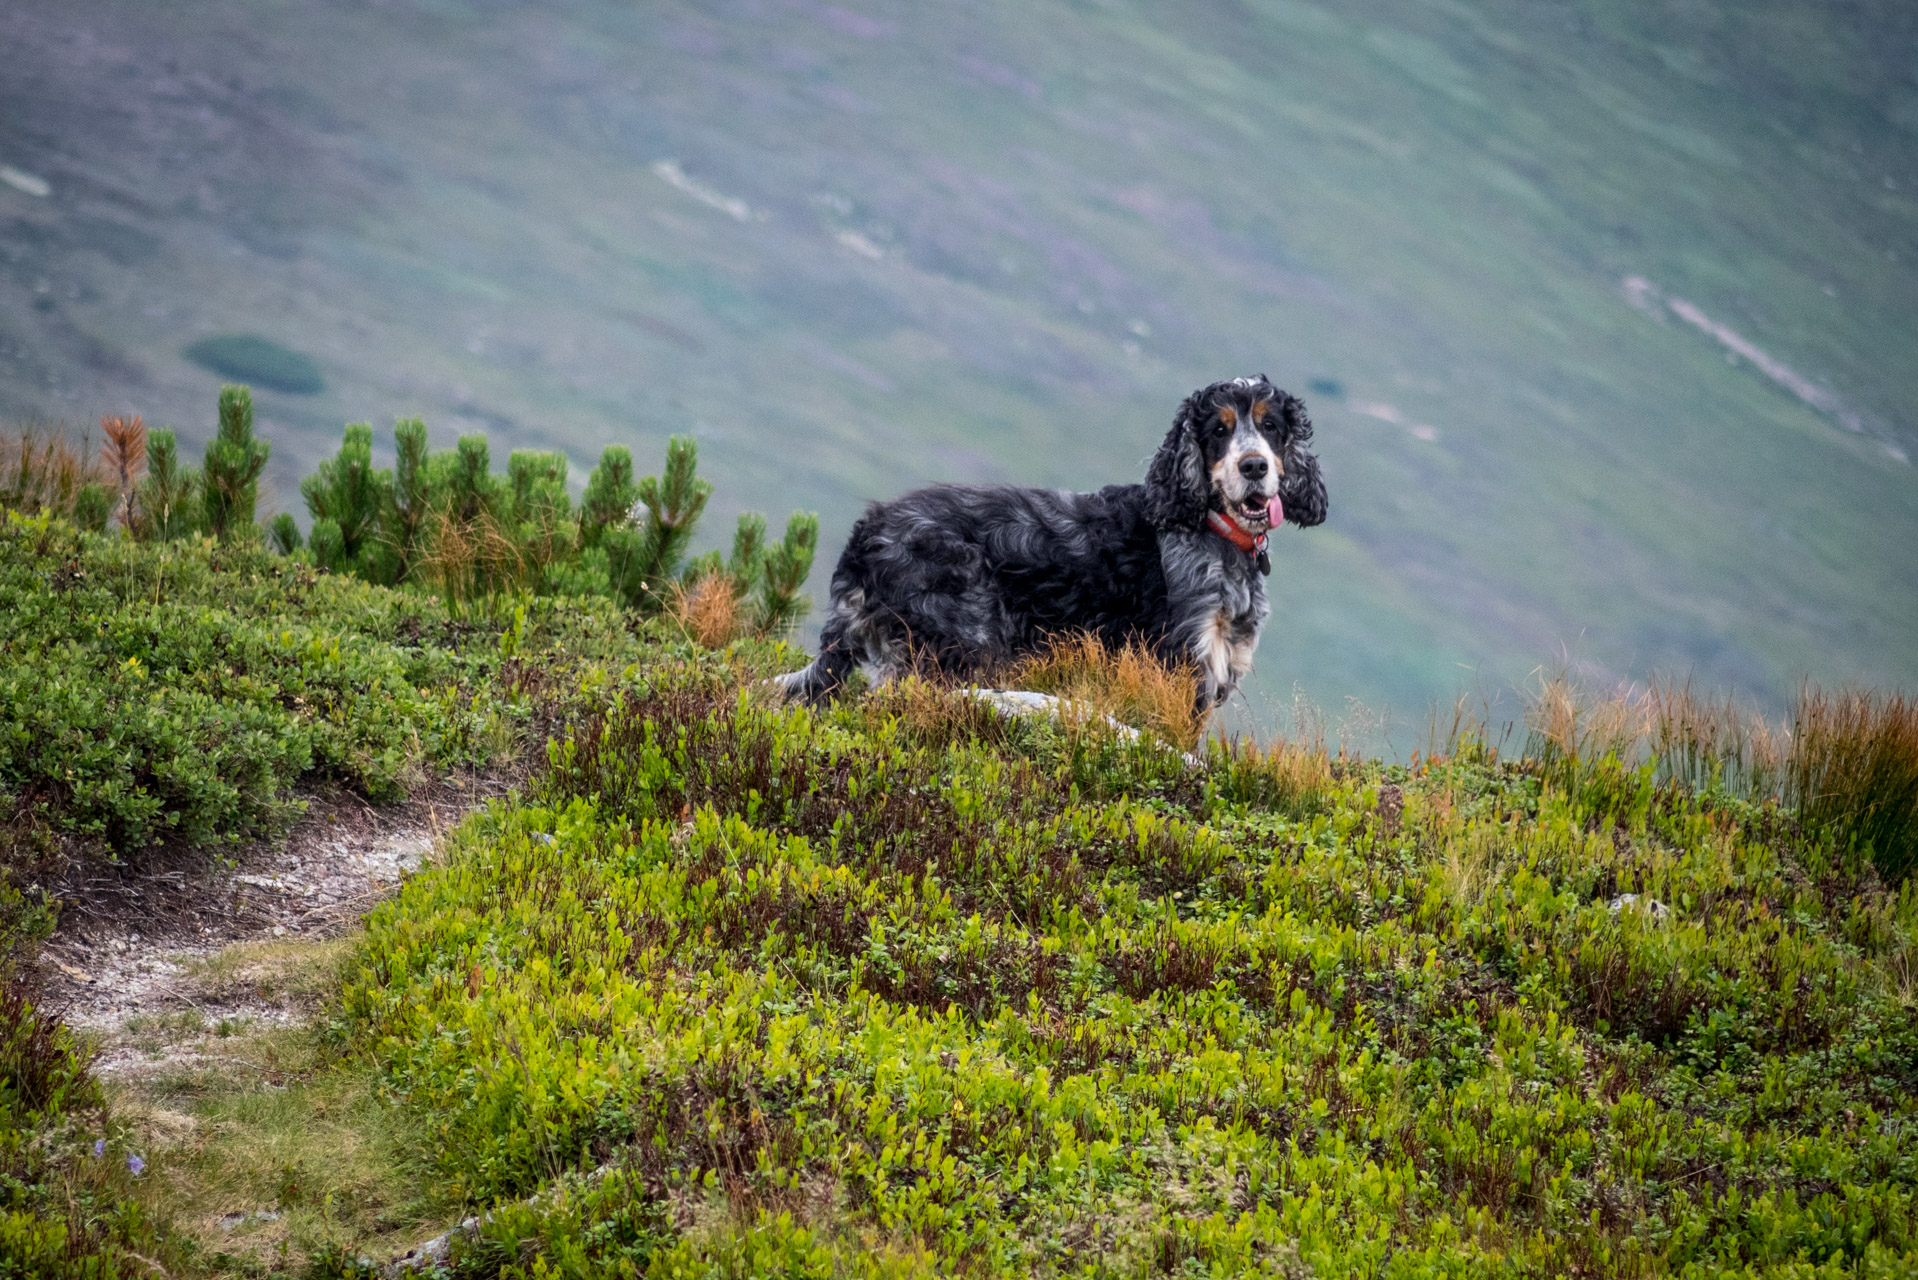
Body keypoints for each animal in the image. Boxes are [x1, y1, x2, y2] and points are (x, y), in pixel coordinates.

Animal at [771, 376, 1327, 717]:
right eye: (1218, 430)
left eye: (1271, 426)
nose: (1254, 465)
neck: (1213, 529)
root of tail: (868, 531)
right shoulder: (1184, 661)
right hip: (957, 642)